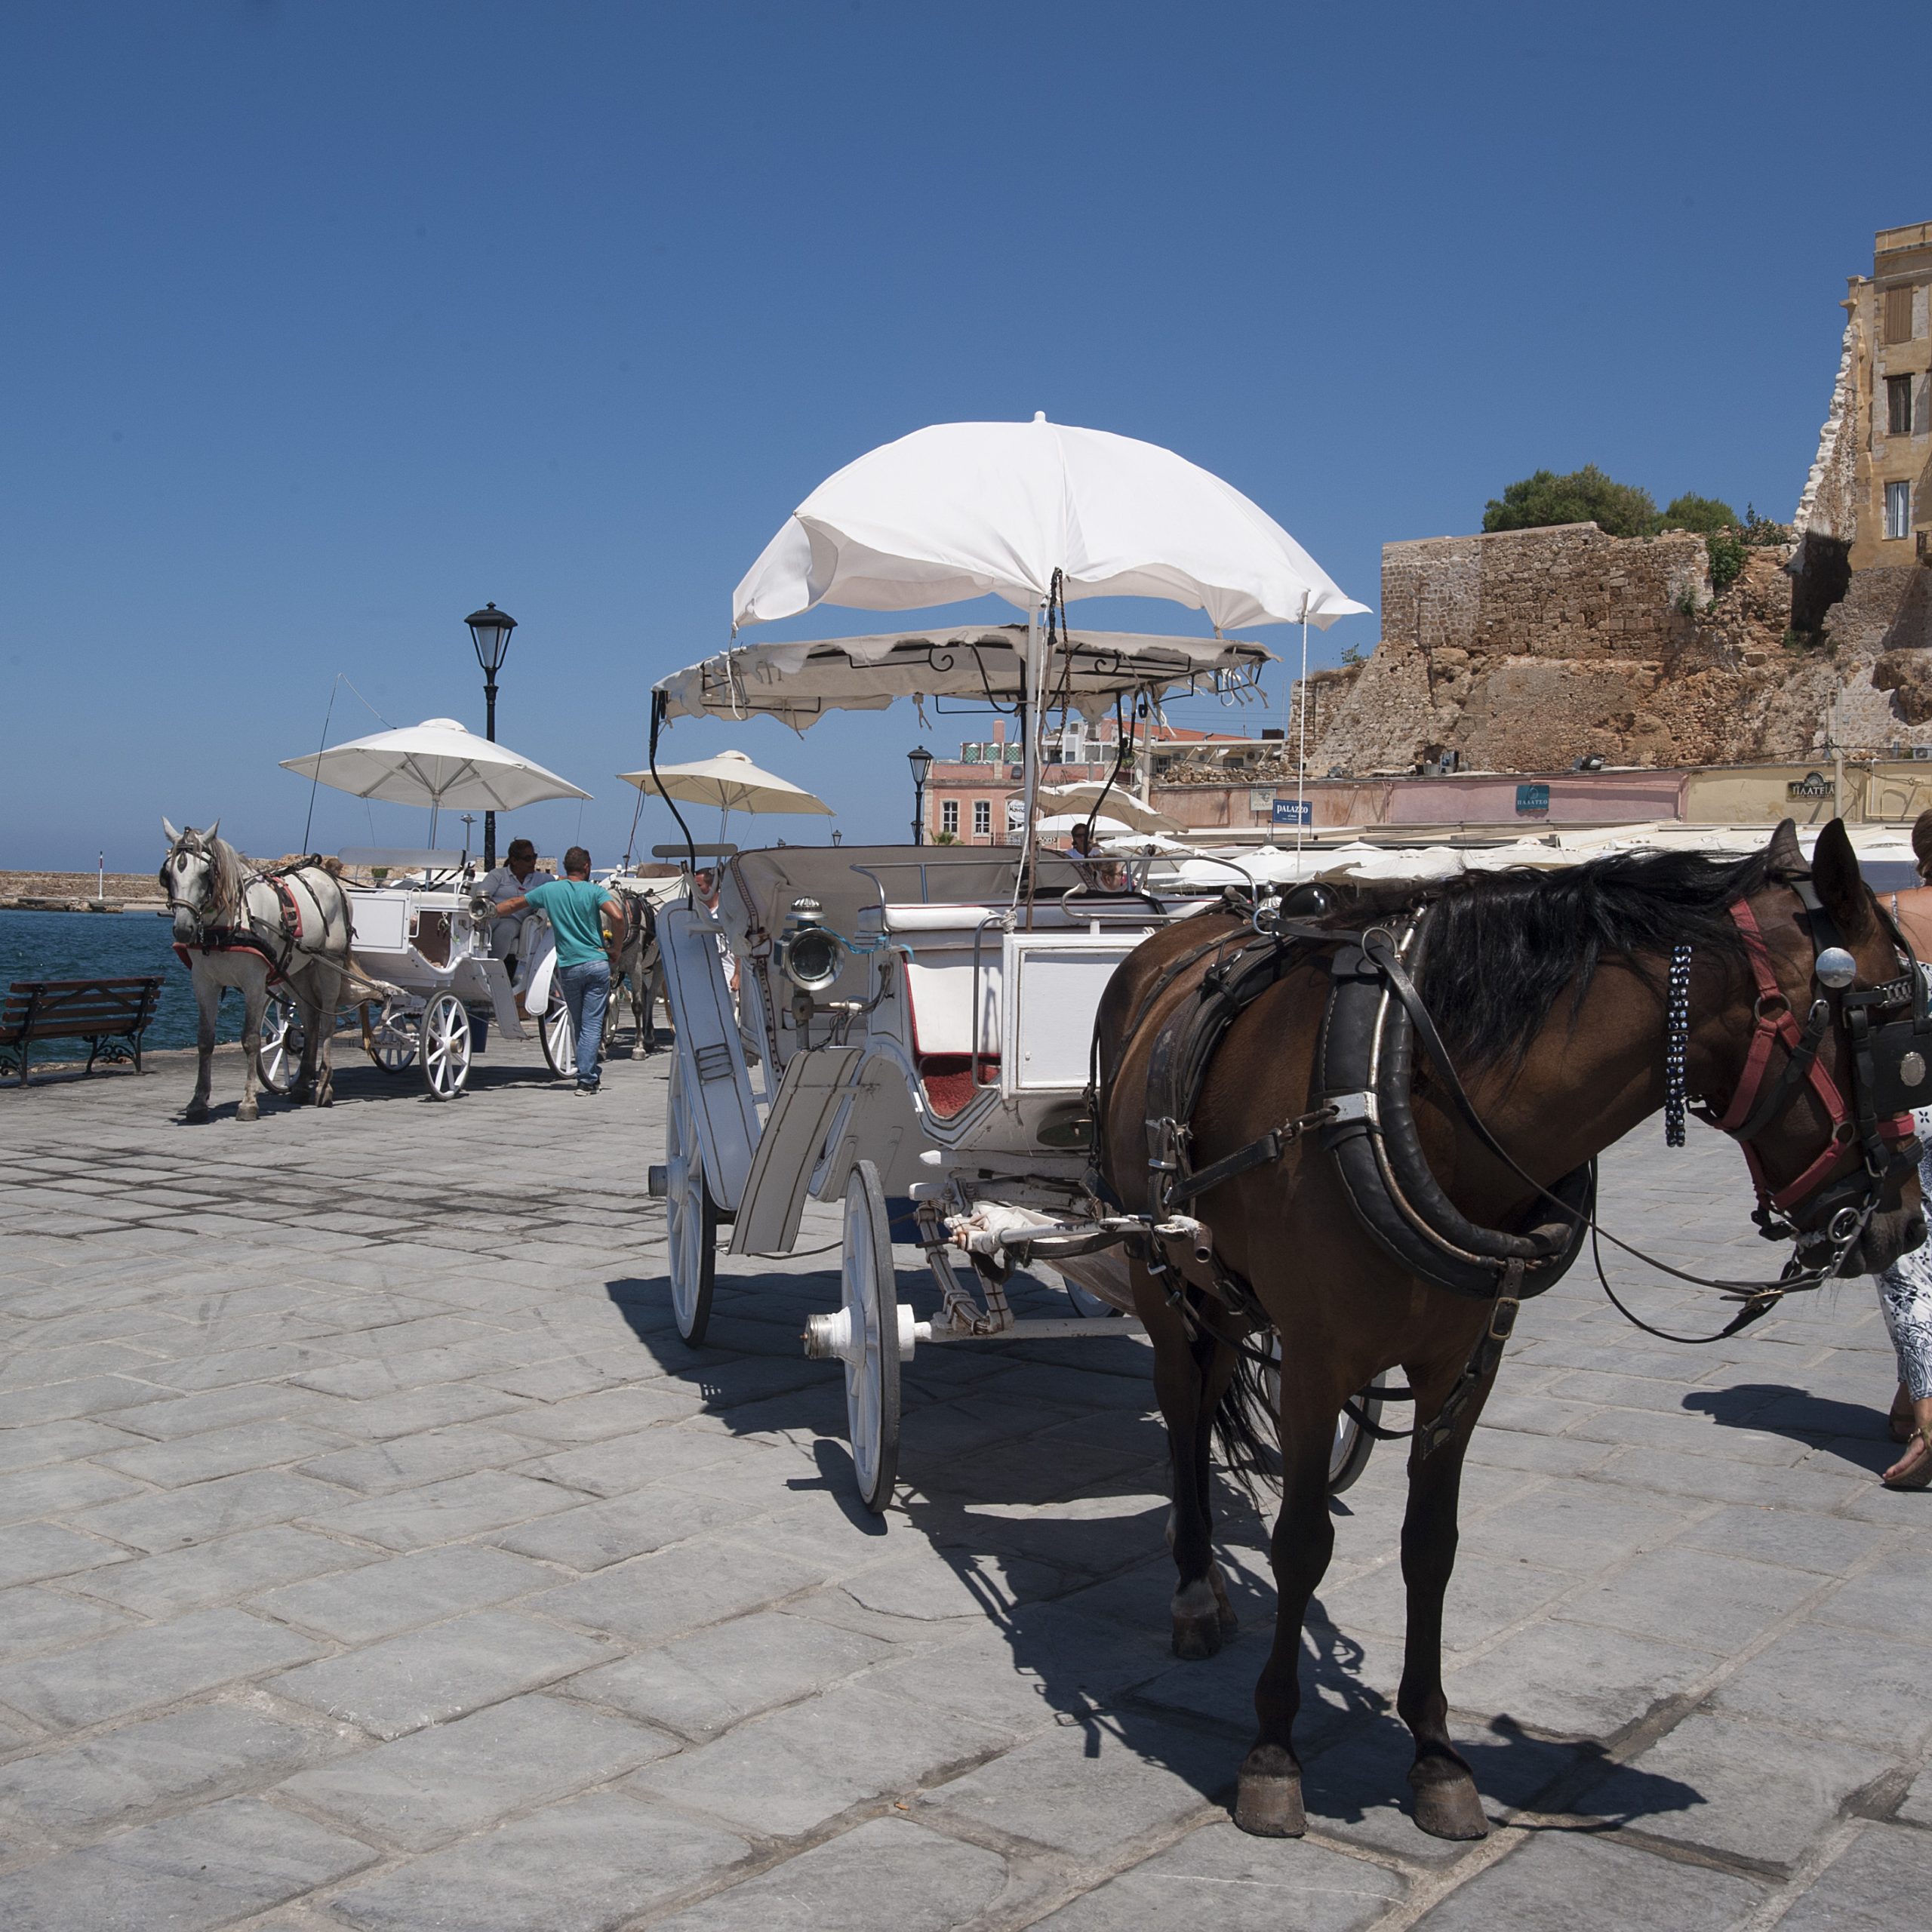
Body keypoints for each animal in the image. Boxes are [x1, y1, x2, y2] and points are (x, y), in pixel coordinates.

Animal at [161, 823, 359, 1128]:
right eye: (168, 872)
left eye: (206, 873)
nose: (183, 929)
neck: (229, 924)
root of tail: (330, 878)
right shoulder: (203, 983)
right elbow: (205, 1040)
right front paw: (198, 1103)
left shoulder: (254, 983)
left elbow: (251, 1039)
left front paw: (248, 1103)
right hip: (298, 969)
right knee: (311, 1019)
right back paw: (302, 1084)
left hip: (328, 964)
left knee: (326, 1021)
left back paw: (324, 1086)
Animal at [1097, 815, 1924, 1839]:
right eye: (1897, 1033)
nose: (1904, 1226)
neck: (1404, 1088)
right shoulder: (1319, 1361)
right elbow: (1300, 1543)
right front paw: (1273, 1753)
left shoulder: (1465, 1361)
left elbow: (1430, 1547)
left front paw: (1437, 1756)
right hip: (1156, 1264)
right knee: (1181, 1409)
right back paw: (1191, 1591)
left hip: (1221, 1284)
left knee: (1213, 1389)